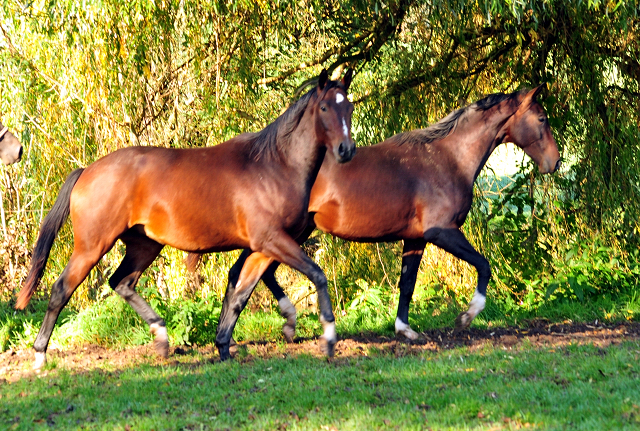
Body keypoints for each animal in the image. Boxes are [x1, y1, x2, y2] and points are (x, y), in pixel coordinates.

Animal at [16, 69, 356, 370]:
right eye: (325, 107)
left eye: (350, 106)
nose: (346, 149)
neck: (273, 166)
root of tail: (87, 170)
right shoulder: (272, 240)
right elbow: (317, 275)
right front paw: (328, 339)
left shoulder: (262, 247)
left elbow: (240, 295)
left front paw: (223, 347)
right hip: (92, 246)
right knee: (61, 290)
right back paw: (40, 355)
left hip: (144, 245)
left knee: (121, 282)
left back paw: (161, 337)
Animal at [201, 85, 560, 348]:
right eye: (542, 118)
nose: (554, 162)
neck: (447, 158)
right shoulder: (442, 232)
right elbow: (483, 265)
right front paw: (466, 317)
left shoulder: (415, 239)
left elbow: (408, 284)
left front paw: (404, 329)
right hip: (290, 233)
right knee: (255, 272)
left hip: (291, 233)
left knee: (255, 272)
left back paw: (276, 327)